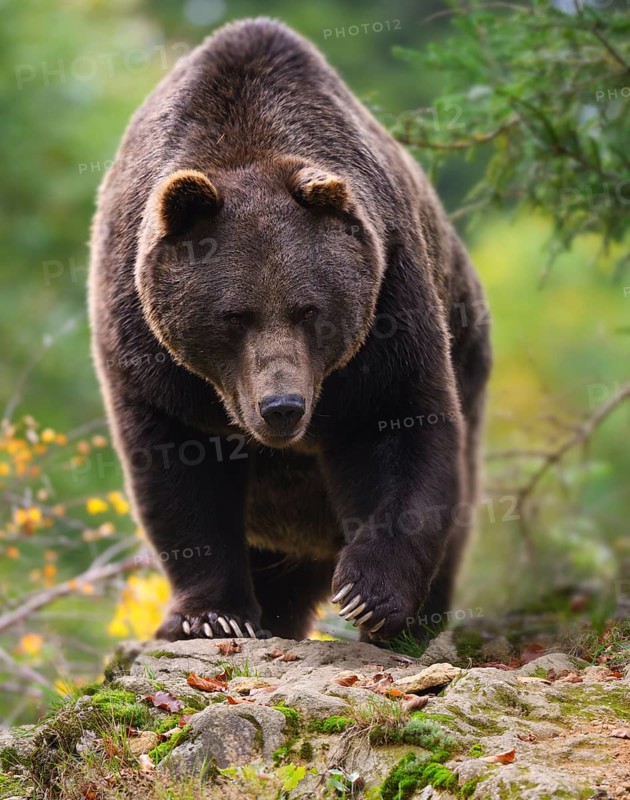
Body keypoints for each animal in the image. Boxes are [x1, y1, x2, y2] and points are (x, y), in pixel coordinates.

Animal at [88, 18, 491, 644]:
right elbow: (179, 474)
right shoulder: (146, 350)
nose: (282, 407)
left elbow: (398, 426)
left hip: (467, 347)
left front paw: (370, 597)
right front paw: (208, 616)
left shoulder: (387, 303)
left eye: (309, 310)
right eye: (235, 315)